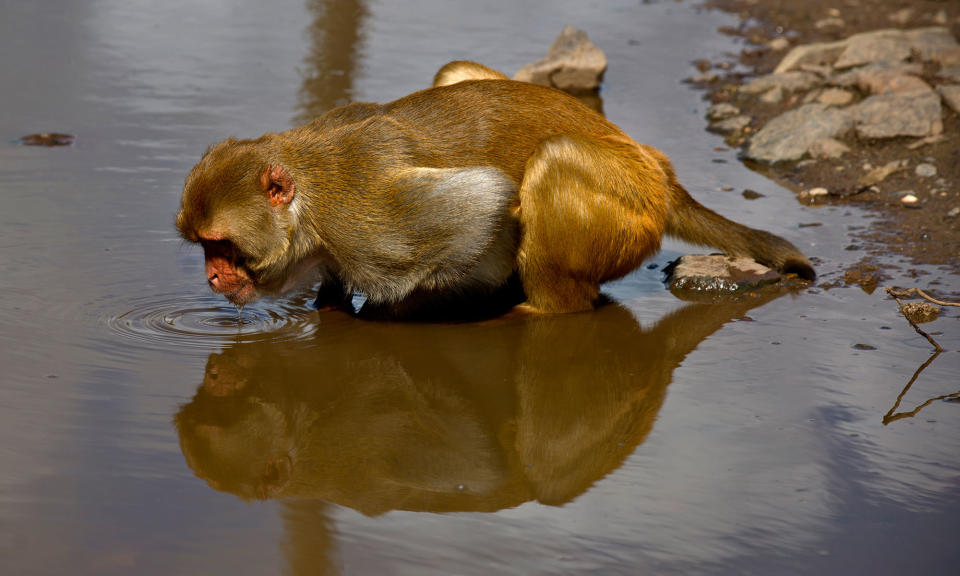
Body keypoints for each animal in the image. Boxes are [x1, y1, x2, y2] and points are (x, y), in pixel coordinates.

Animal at [176, 59, 812, 316]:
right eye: (204, 248)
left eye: (222, 246)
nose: (211, 277)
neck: (309, 208)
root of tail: (658, 171)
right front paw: (327, 307)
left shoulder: (363, 223)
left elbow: (488, 200)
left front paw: (398, 310)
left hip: (631, 214)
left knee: (550, 165)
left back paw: (535, 312)